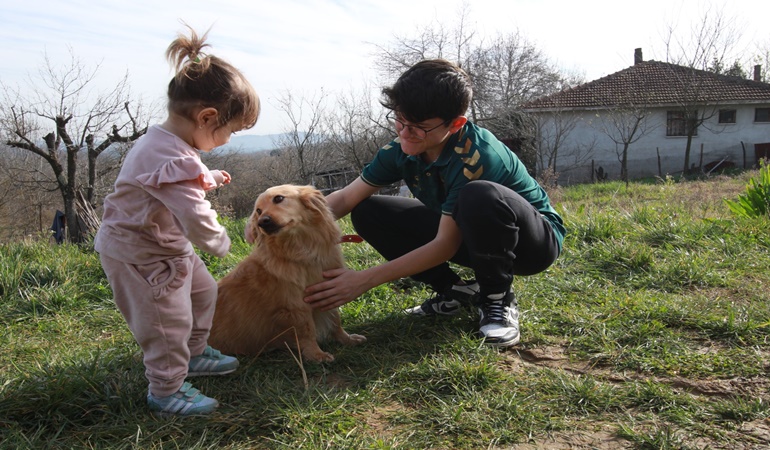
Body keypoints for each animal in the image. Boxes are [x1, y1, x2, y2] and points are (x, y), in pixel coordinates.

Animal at [207, 184, 366, 362]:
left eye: (278, 198)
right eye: (258, 211)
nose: (262, 222)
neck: (300, 250)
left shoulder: (329, 289)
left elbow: (335, 320)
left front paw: (347, 339)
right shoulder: (296, 307)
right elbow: (307, 331)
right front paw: (316, 355)